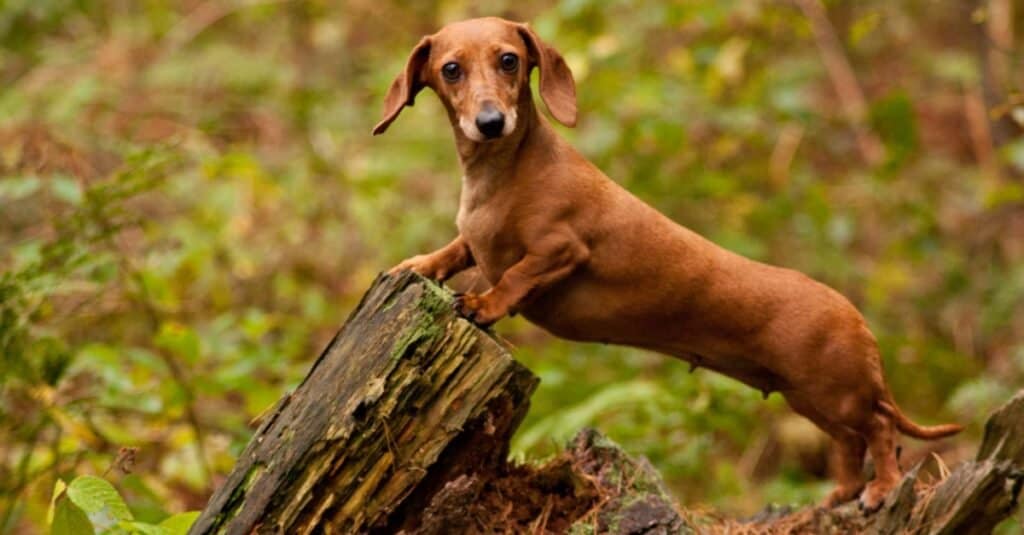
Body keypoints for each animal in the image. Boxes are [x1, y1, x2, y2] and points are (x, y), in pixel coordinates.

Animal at [376, 15, 958, 508]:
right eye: (451, 68)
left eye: (508, 60)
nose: (490, 121)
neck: (502, 173)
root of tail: (858, 319)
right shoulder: (476, 241)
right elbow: (456, 250)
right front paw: (417, 266)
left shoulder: (560, 249)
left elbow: (514, 277)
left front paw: (484, 304)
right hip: (808, 399)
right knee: (851, 443)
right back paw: (841, 493)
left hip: (837, 394)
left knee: (881, 431)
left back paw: (880, 489)